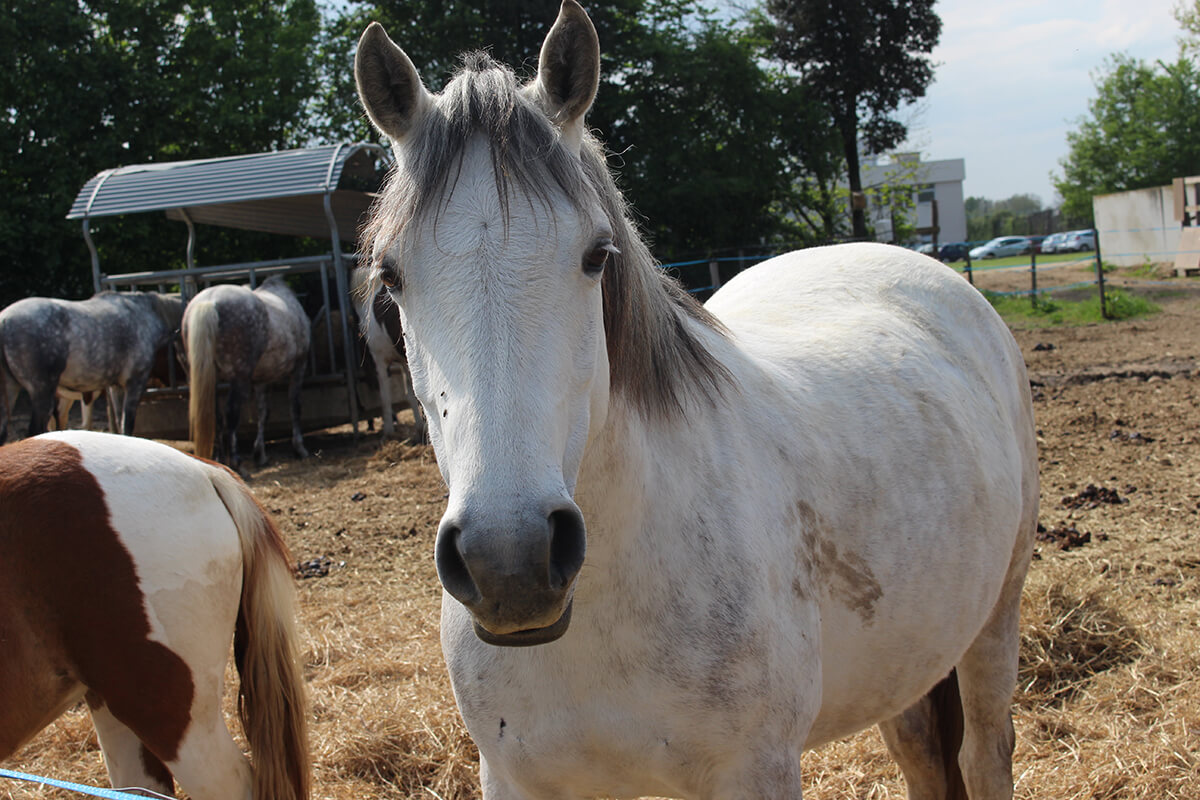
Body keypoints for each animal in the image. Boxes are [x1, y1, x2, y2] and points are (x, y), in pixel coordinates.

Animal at [350, 3, 1036, 796]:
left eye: (596, 255)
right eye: (390, 276)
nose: (509, 562)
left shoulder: (755, 770)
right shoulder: (515, 776)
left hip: (995, 619)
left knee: (983, 753)